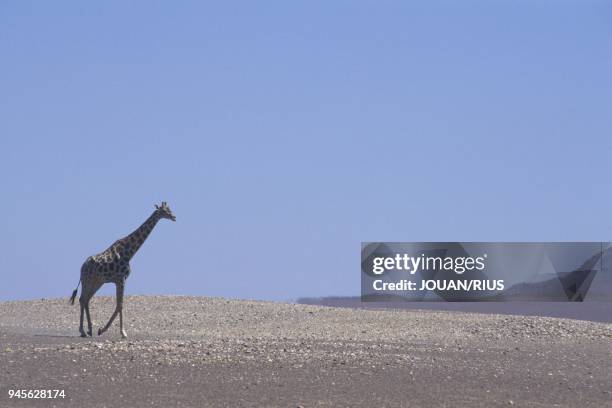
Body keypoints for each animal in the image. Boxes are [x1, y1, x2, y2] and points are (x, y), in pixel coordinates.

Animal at [69, 201, 176, 338]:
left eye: (169, 209)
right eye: (164, 211)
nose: (174, 217)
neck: (129, 252)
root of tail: (82, 267)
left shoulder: (119, 280)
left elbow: (119, 305)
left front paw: (102, 330)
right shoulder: (121, 279)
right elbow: (120, 305)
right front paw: (122, 332)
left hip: (97, 282)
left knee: (85, 299)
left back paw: (89, 330)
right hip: (87, 281)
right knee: (83, 299)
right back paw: (83, 331)